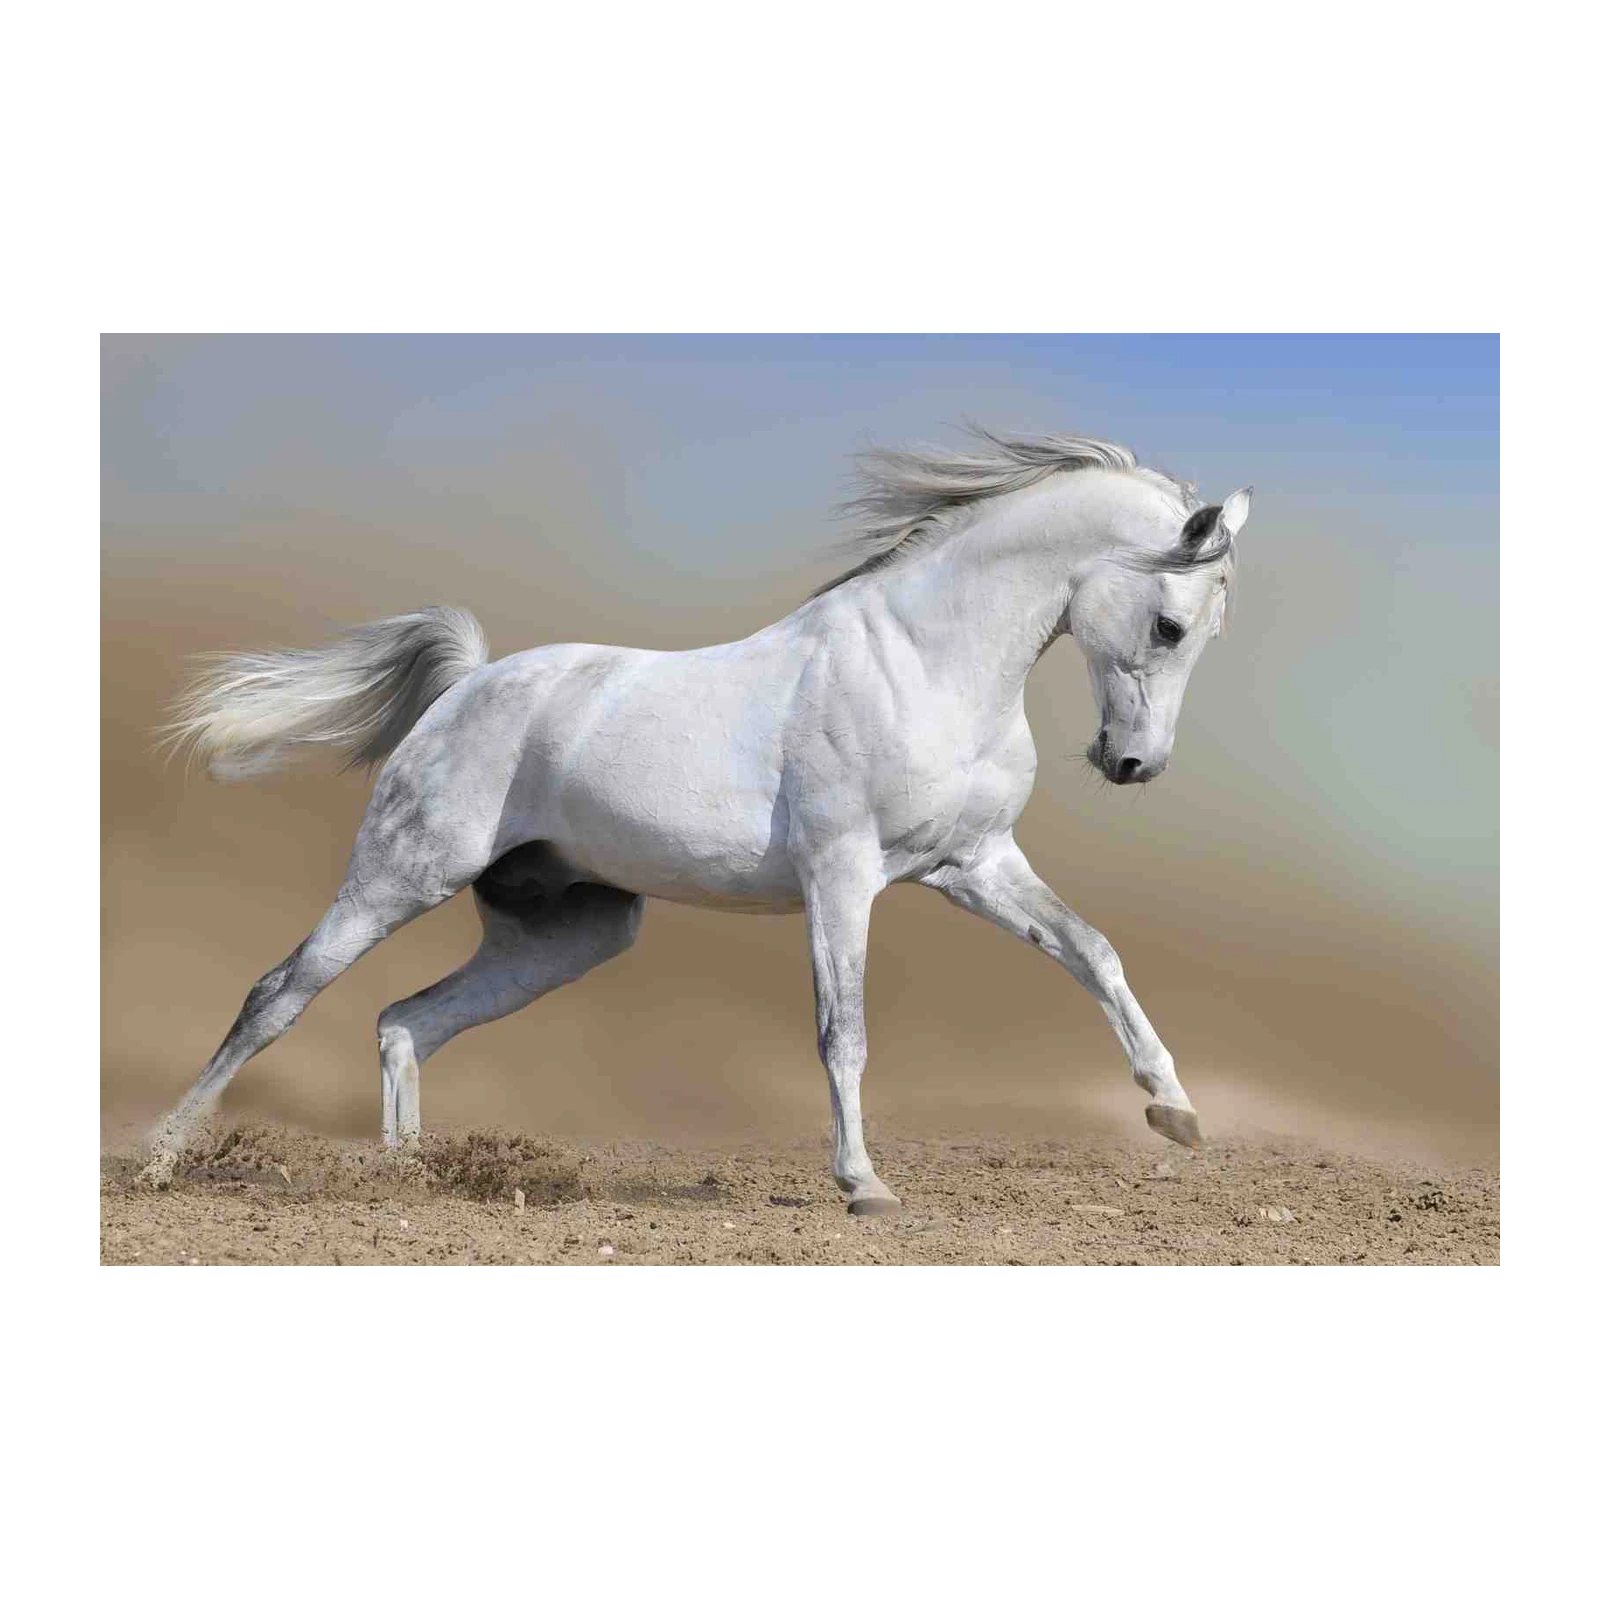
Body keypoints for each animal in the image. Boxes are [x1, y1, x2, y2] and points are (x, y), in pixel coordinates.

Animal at [138, 425, 1251, 1214]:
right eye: (1169, 625)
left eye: (1206, 634)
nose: (1133, 764)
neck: (924, 661)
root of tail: (467, 685)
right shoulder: (841, 876)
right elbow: (843, 1030)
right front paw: (863, 1185)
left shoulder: (973, 865)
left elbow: (1092, 952)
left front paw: (1175, 1112)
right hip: (399, 876)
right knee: (279, 995)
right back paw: (159, 1157)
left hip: (568, 932)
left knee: (406, 1021)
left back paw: (409, 1178)